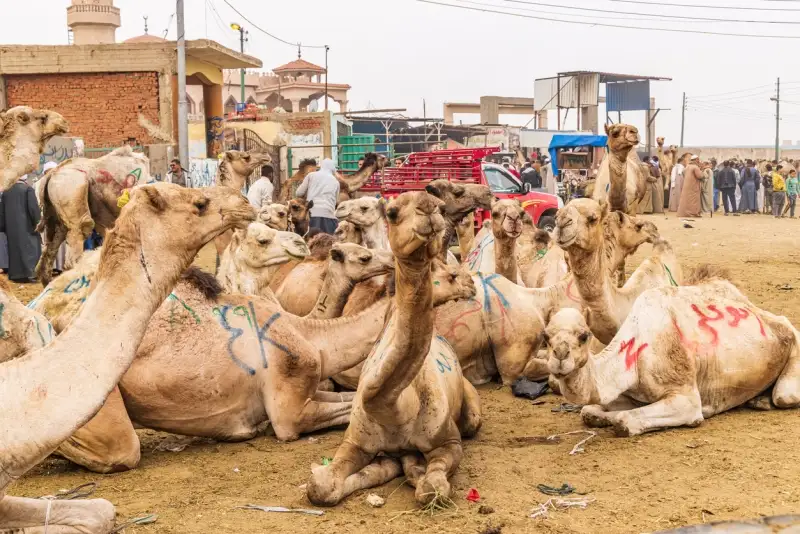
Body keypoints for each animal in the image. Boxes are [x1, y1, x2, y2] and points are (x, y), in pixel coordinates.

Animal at [307, 191, 481, 507]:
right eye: (391, 212)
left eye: (440, 206)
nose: (428, 208)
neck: (394, 407)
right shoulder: (355, 441)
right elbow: (321, 486)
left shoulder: (448, 441)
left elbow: (432, 488)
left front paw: (421, 477)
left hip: (470, 411)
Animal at [544, 279, 800, 437]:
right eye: (546, 337)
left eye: (584, 336)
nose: (560, 356)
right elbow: (588, 412)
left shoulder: (686, 396)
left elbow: (624, 421)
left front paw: (702, 414)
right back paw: (758, 401)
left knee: (785, 396)